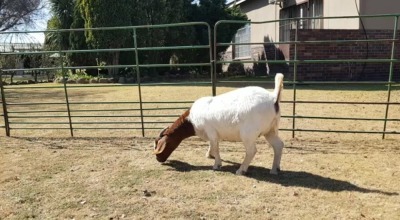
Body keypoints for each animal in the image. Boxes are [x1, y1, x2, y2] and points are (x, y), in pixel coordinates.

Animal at [153, 73, 284, 174]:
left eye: (163, 145)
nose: (158, 159)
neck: (192, 119)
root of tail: (273, 97)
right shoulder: (214, 134)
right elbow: (212, 145)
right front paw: (209, 155)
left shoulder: (210, 131)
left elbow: (215, 147)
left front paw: (217, 164)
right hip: (270, 130)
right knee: (278, 145)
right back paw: (274, 169)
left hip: (248, 133)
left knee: (251, 151)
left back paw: (241, 170)